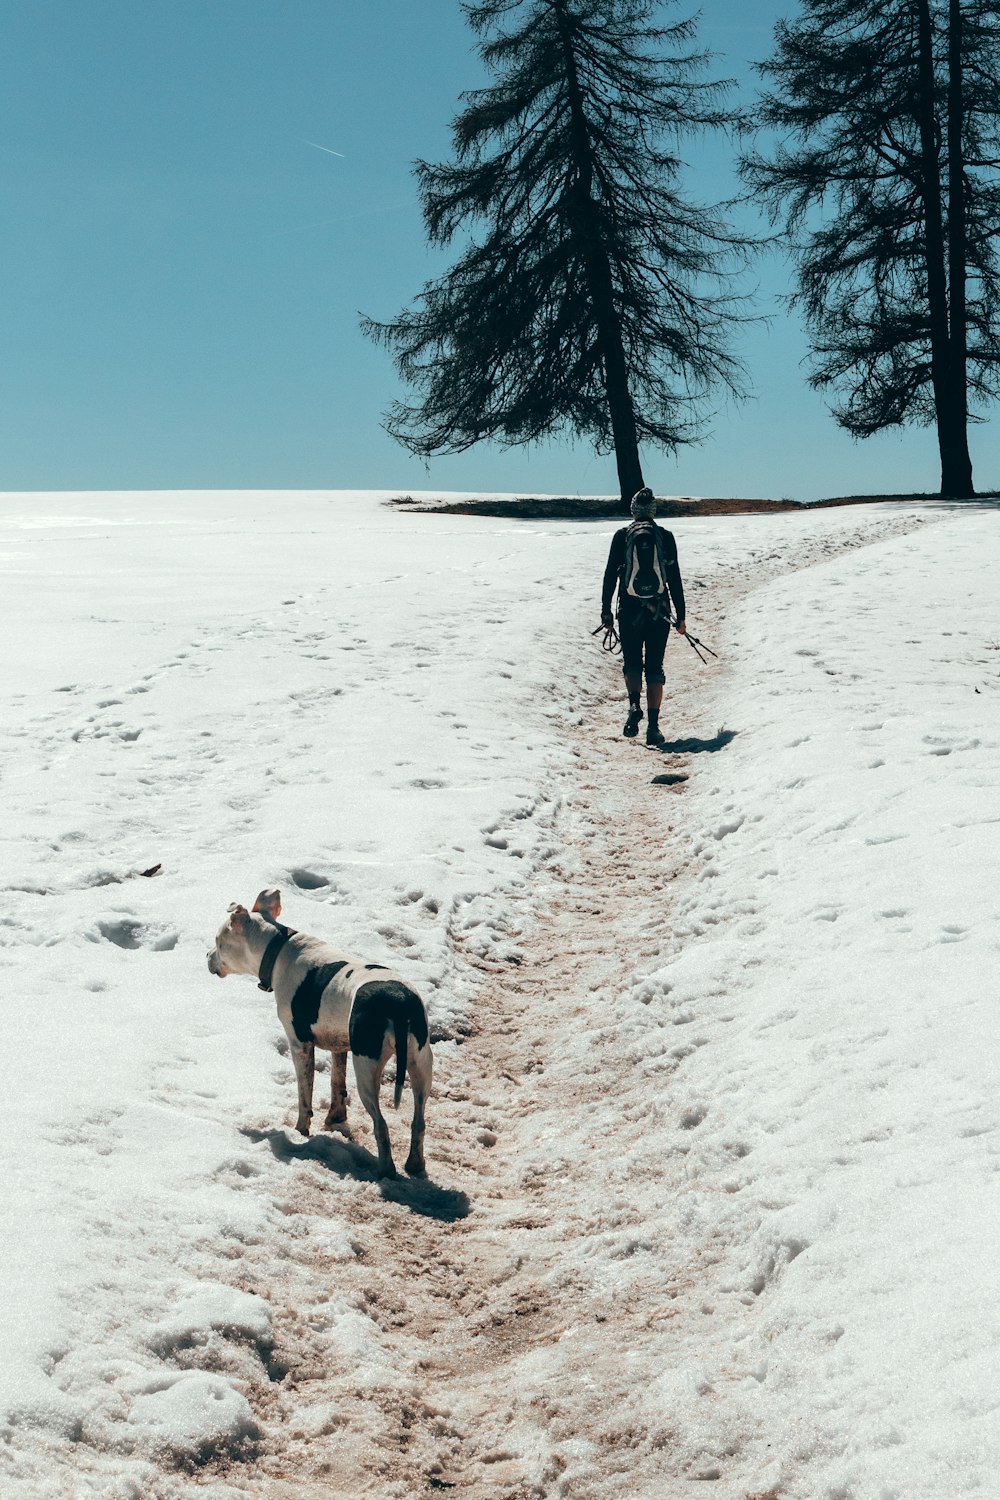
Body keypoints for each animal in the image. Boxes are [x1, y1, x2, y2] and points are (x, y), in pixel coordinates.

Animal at [206, 882, 431, 1176]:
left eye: (218, 942)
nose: (207, 956)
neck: (277, 951)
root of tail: (399, 1002)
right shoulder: (339, 1045)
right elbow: (337, 1083)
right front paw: (335, 1119)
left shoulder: (300, 1044)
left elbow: (305, 1092)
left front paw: (301, 1130)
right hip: (421, 1064)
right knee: (419, 1120)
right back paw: (414, 1165)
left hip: (367, 1067)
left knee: (380, 1124)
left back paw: (385, 1170)